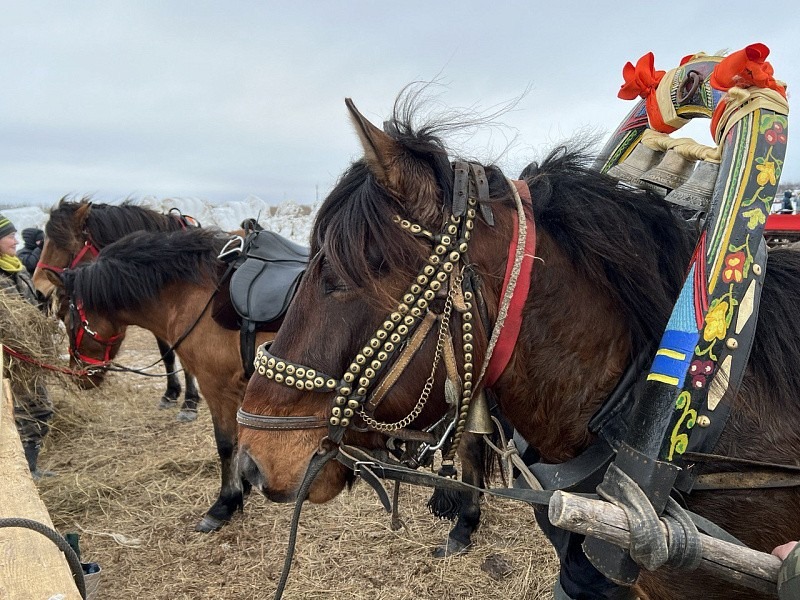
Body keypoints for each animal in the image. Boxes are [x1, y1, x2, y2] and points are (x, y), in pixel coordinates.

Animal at [50, 227, 284, 532]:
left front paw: (225, 503)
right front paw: (242, 488)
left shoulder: (216, 386)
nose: (79, 375)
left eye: (66, 319)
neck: (201, 295)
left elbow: (225, 444)